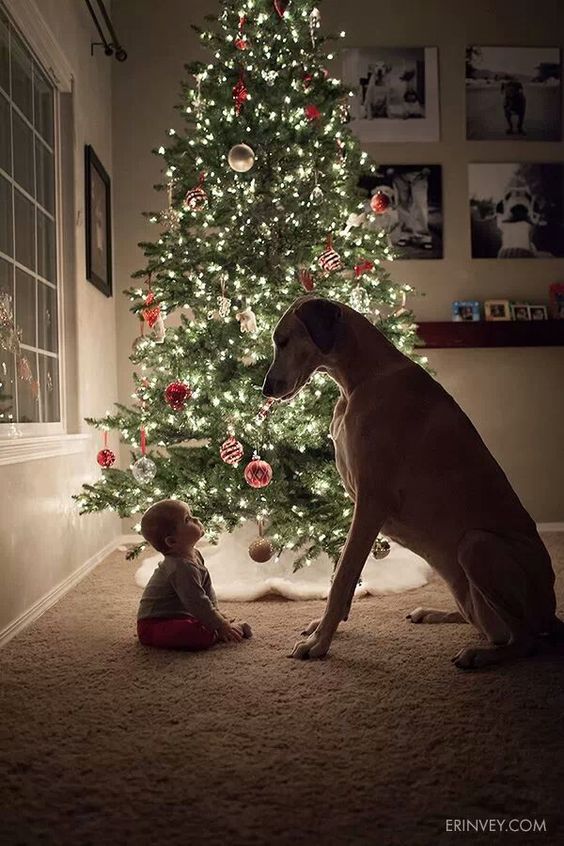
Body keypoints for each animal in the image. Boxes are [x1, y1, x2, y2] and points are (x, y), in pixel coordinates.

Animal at [262, 298, 560, 668]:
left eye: (283, 341)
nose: (265, 389)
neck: (360, 378)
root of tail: (552, 614)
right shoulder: (360, 506)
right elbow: (344, 578)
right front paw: (324, 629)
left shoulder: (371, 503)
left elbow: (343, 576)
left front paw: (319, 643)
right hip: (468, 589)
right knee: (489, 626)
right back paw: (434, 614)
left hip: (477, 545)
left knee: (525, 640)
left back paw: (480, 655)